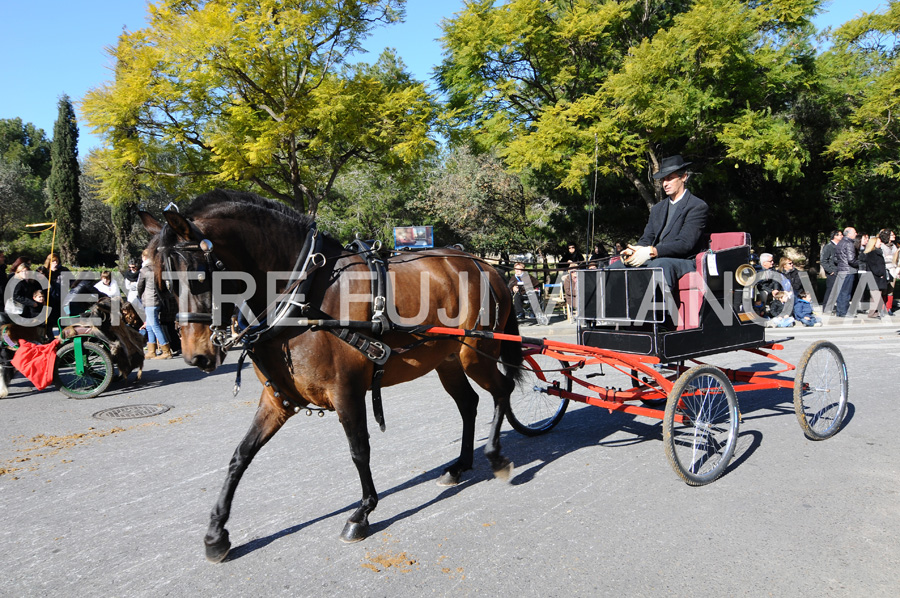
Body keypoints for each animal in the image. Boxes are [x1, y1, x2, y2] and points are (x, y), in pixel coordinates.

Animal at [137, 190, 524, 564]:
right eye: (162, 283)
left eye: (199, 278)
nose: (197, 355)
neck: (302, 295)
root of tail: (484, 265)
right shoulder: (277, 400)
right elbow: (240, 455)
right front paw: (216, 533)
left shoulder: (346, 390)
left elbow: (359, 450)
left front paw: (362, 513)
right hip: (447, 360)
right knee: (469, 403)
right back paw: (459, 466)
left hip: (475, 353)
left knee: (501, 389)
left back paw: (495, 456)